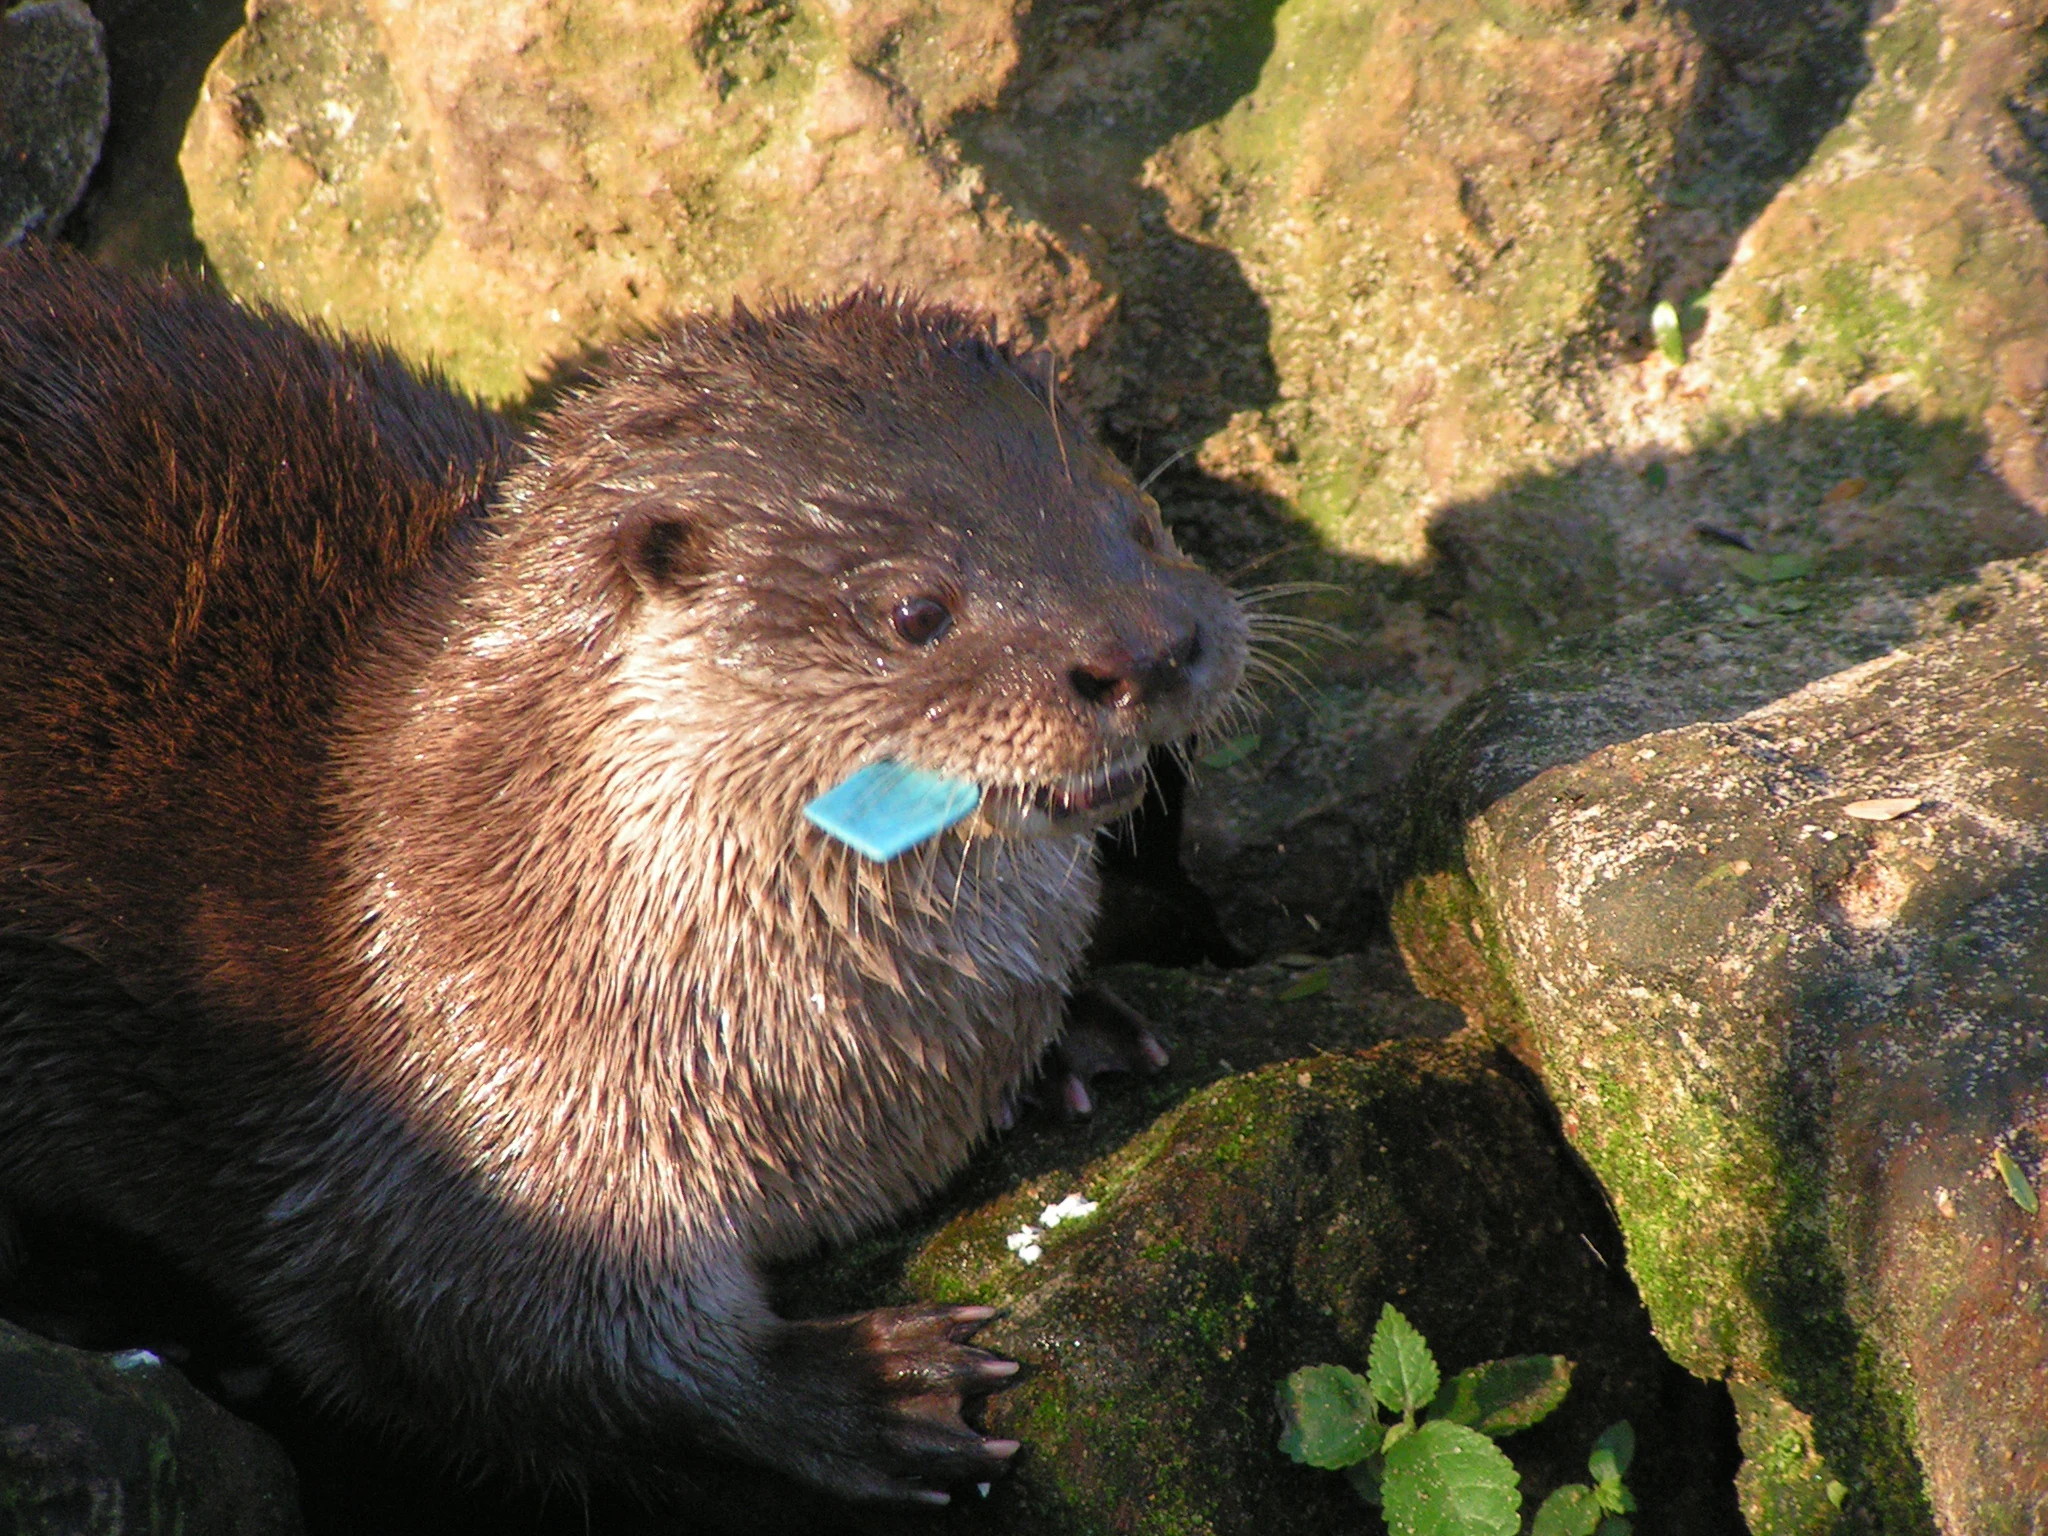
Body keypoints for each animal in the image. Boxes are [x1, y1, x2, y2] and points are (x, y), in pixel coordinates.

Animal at [0, 243, 1247, 1504]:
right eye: (914, 610)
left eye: (1137, 520)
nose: (1147, 648)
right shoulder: (459, 1134)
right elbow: (498, 1340)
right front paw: (861, 1390)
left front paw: (1075, 1036)